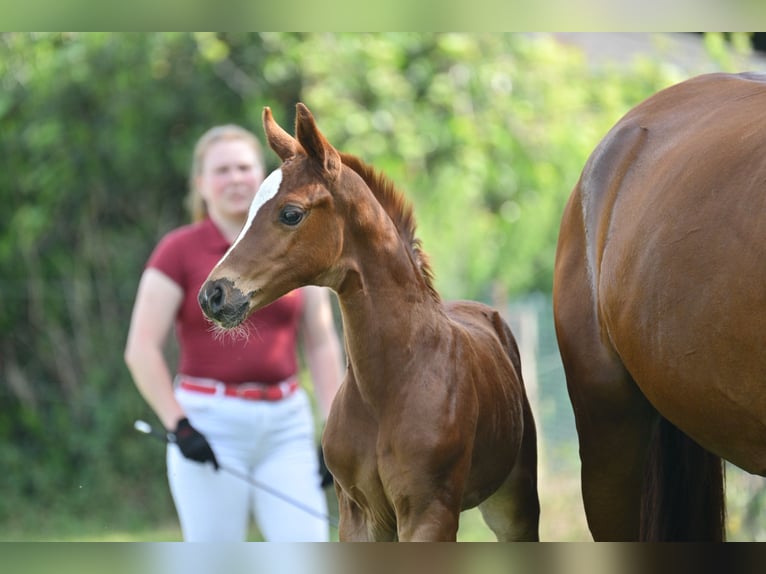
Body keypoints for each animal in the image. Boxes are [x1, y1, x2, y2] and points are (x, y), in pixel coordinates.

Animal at [197, 103, 540, 541]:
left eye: (291, 213)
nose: (213, 294)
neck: (389, 385)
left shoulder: (428, 512)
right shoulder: (359, 515)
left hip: (513, 504)